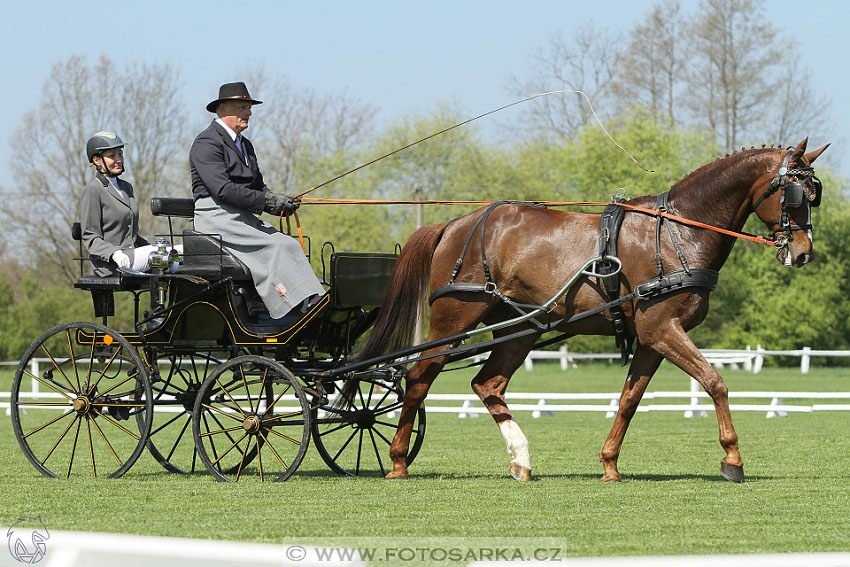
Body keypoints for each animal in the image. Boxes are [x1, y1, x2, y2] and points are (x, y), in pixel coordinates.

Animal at [362, 138, 824, 484]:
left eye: (813, 195)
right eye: (794, 194)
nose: (803, 253)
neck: (677, 232)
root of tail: (453, 225)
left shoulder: (652, 338)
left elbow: (629, 399)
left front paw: (609, 464)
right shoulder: (662, 329)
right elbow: (715, 383)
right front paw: (732, 459)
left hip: (521, 327)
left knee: (488, 384)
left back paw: (521, 460)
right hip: (454, 318)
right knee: (419, 377)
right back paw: (398, 461)